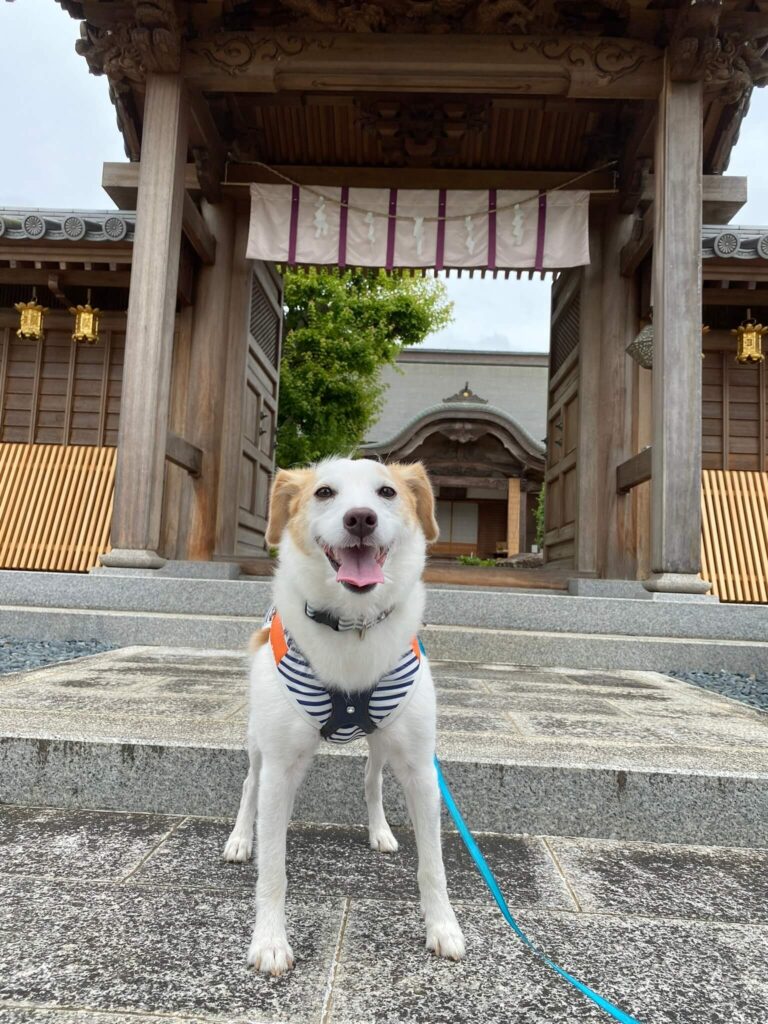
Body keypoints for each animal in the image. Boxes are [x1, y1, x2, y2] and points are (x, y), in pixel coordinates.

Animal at [222, 458, 462, 974]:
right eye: (324, 492)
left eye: (386, 492)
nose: (360, 519)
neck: (353, 623)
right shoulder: (281, 765)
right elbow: (273, 867)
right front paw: (269, 941)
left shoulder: (420, 766)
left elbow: (433, 864)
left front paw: (443, 927)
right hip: (258, 740)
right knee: (249, 784)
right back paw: (240, 839)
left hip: (382, 741)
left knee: (371, 782)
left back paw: (381, 831)